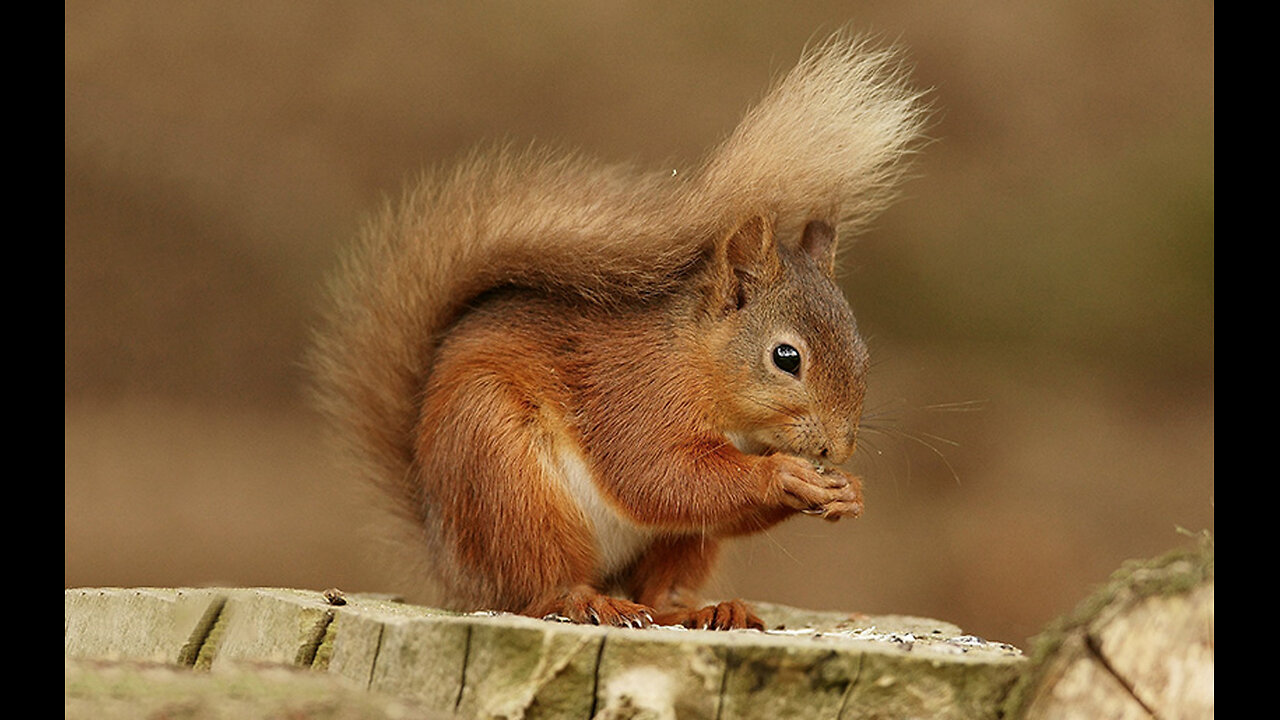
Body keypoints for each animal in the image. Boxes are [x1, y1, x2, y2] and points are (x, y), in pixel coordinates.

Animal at [313, 35, 926, 627]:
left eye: (861, 352)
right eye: (786, 358)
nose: (837, 448)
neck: (698, 365)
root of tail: (456, 569)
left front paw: (849, 493)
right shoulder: (634, 396)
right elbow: (655, 475)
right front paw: (785, 475)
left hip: (677, 544)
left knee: (660, 587)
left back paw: (703, 609)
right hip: (505, 477)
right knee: (540, 586)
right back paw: (588, 603)